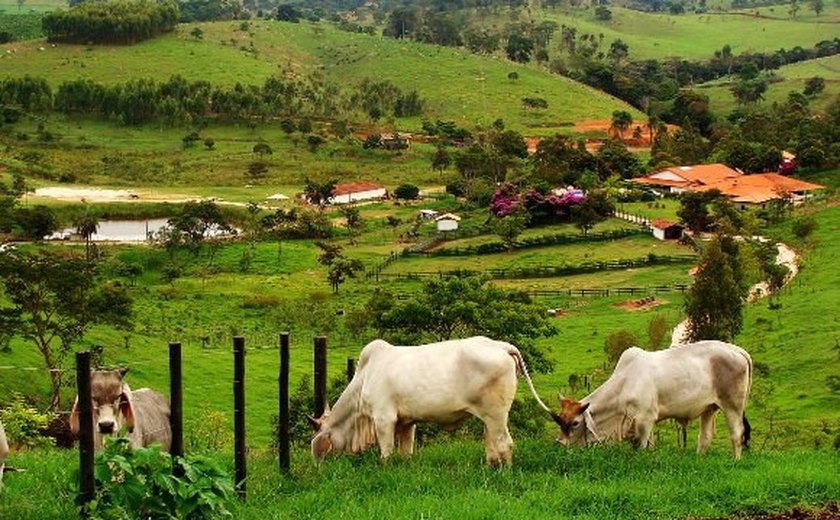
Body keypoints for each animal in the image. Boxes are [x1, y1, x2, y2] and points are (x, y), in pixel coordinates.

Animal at [308, 338, 556, 468]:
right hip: (489, 418)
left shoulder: (384, 419)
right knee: (492, 445)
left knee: (505, 444)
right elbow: (405, 452)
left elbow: (386, 453)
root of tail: (501, 346)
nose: (318, 470)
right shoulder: (407, 423)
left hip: (497, 414)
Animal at [556, 342, 752, 460]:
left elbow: (642, 446)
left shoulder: (645, 419)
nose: (559, 444)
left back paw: (735, 460)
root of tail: (738, 351)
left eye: (575, 423)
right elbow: (650, 445)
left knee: (737, 434)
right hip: (709, 409)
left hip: (733, 406)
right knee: (705, 436)